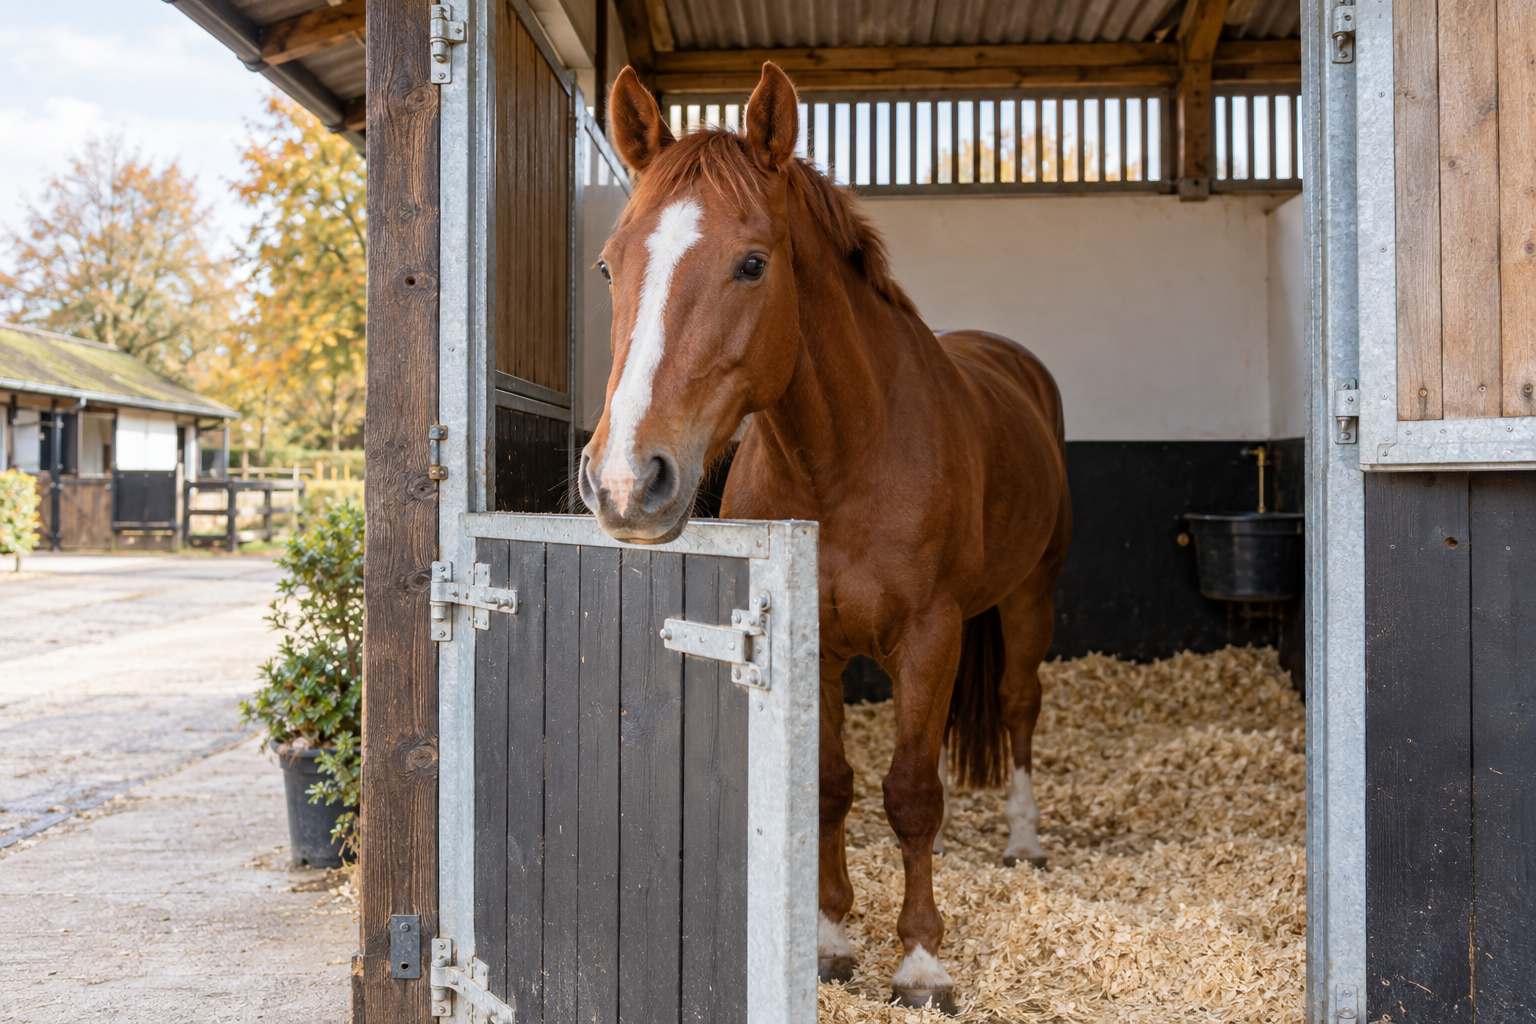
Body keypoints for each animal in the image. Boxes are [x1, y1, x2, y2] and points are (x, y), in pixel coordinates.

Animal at [579, 62, 1072, 1013]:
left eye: (752, 263)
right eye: (610, 264)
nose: (624, 483)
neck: (846, 456)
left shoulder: (929, 635)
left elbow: (911, 793)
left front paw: (920, 961)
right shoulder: (818, 640)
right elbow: (832, 786)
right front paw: (831, 936)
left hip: (1031, 595)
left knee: (1018, 707)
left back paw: (1024, 842)